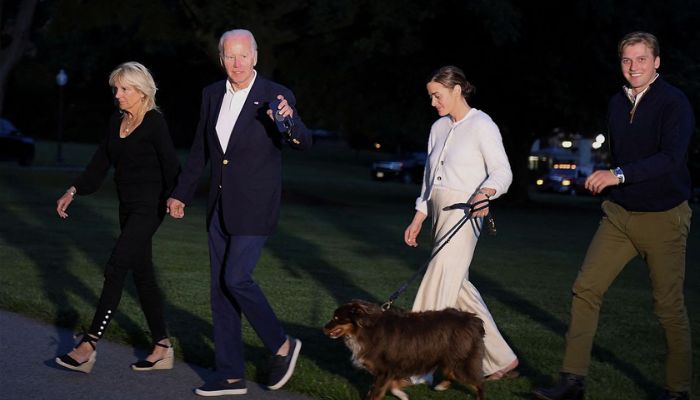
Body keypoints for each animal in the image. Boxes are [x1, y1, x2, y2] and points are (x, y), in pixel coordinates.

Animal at [326, 300, 484, 400]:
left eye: (336, 318)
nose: (323, 329)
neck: (366, 328)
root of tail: (473, 320)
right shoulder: (393, 367)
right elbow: (393, 385)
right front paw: (402, 394)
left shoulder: (385, 370)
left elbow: (375, 394)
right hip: (449, 359)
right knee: (451, 374)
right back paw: (442, 386)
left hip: (461, 363)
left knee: (478, 383)